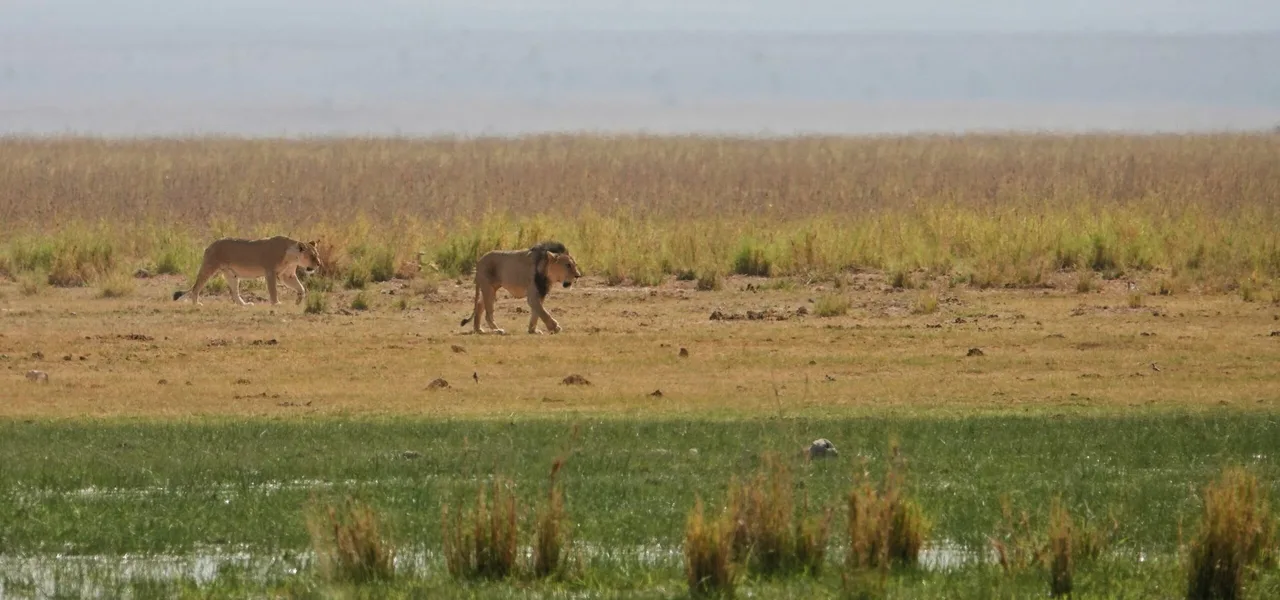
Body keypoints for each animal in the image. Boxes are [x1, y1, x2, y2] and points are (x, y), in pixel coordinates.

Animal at [173, 236, 322, 306]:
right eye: (312, 256)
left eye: (317, 255)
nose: (319, 264)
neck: (292, 257)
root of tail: (211, 244)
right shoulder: (270, 272)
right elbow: (273, 290)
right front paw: (276, 303)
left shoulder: (287, 275)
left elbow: (301, 288)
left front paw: (298, 300)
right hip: (209, 267)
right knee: (196, 287)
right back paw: (196, 303)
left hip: (231, 275)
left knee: (234, 293)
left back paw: (244, 304)